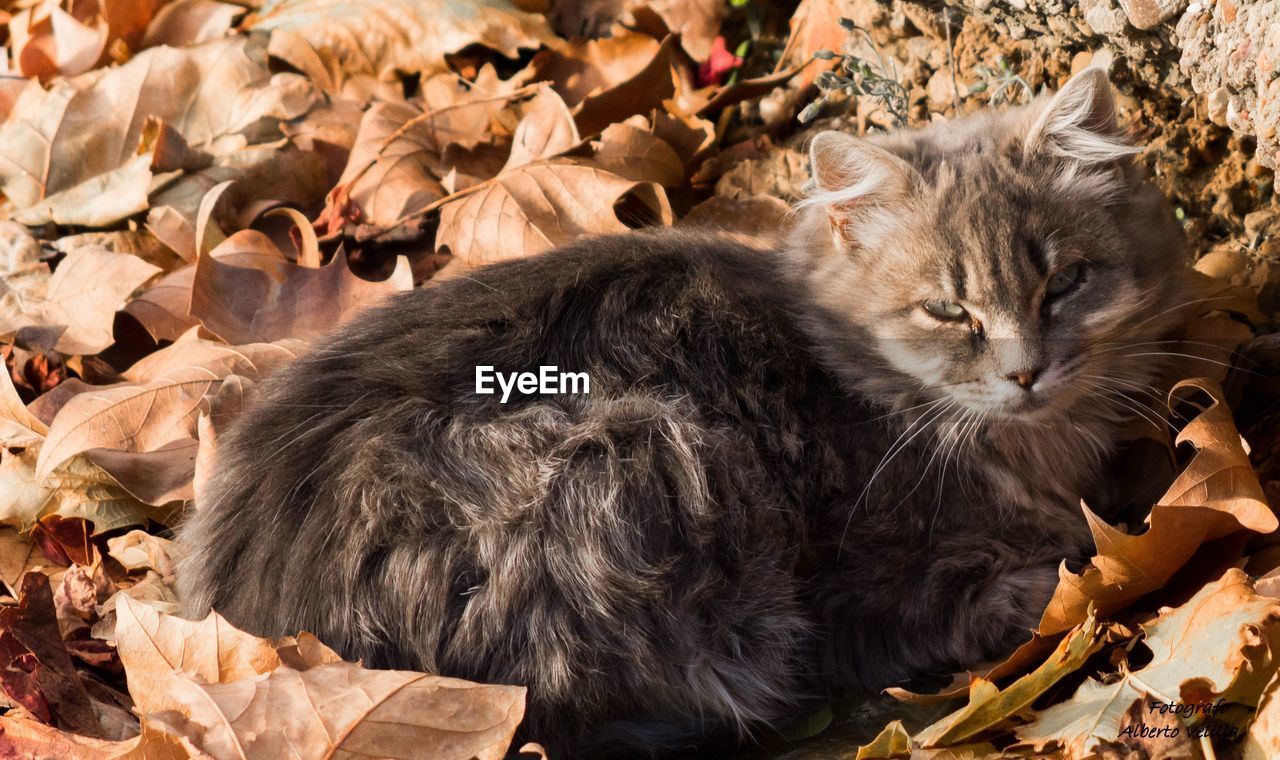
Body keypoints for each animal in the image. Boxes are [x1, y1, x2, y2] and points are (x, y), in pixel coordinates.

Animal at [180, 68, 1198, 752]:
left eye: (1064, 284)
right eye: (949, 311)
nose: (1027, 371)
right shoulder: (871, 586)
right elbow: (1049, 564)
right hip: (638, 450)